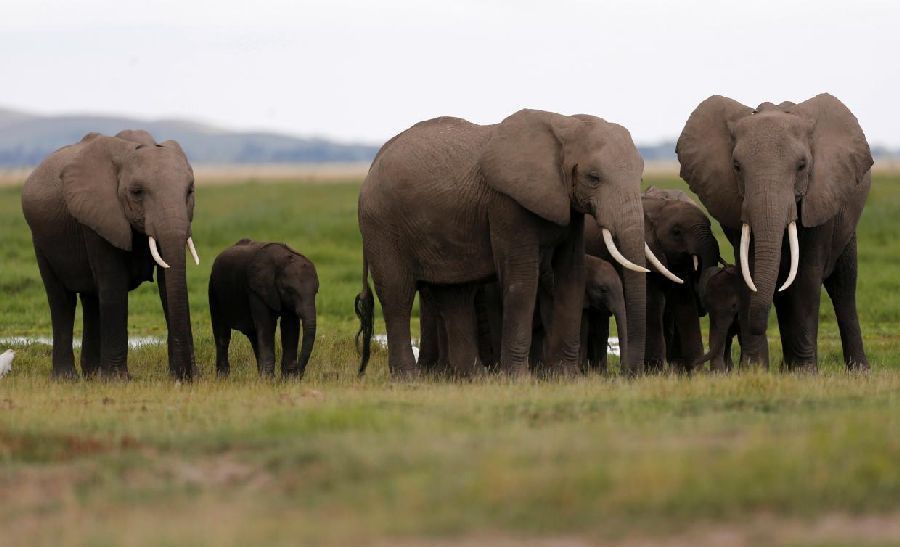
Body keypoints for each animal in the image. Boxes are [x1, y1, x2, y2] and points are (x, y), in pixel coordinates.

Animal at [20, 132, 200, 382]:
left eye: (190, 191)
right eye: (137, 192)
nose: (185, 376)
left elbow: (166, 284)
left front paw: (186, 376)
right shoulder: (97, 215)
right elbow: (114, 284)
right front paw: (118, 381)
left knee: (91, 298)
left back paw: (92, 375)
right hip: (40, 239)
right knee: (62, 301)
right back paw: (67, 378)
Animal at [209, 238, 318, 378]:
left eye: (316, 292)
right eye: (290, 290)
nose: (299, 372)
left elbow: (290, 327)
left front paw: (287, 379)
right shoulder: (256, 290)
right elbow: (267, 326)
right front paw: (270, 380)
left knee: (254, 336)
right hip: (213, 289)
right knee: (222, 334)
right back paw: (223, 377)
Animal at [356, 109, 664, 378]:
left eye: (639, 177)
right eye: (594, 178)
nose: (629, 375)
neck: (563, 125)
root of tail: (373, 163)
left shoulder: (569, 207)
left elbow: (571, 274)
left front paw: (566, 377)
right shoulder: (507, 204)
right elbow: (522, 279)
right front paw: (519, 378)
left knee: (454, 294)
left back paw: (474, 377)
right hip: (382, 225)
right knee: (398, 294)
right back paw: (408, 378)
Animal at [680, 94, 876, 372]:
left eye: (802, 166)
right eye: (736, 166)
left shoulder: (820, 198)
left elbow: (806, 276)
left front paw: (805, 373)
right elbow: (750, 269)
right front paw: (754, 370)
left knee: (843, 286)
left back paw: (858, 371)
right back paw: (787, 368)